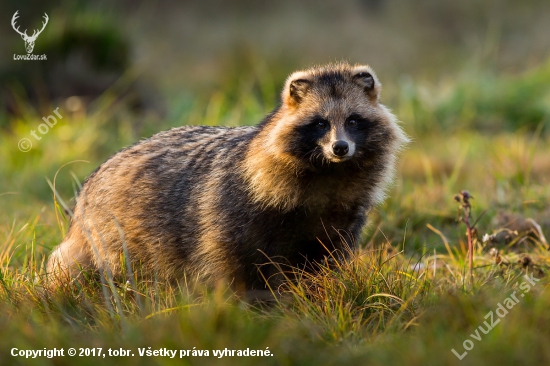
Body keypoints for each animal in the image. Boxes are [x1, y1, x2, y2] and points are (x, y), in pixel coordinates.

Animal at [48, 62, 410, 292]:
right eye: (320, 123)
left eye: (352, 120)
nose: (340, 147)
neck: (328, 174)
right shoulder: (237, 207)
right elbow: (234, 261)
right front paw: (254, 301)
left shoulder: (343, 214)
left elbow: (327, 259)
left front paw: (315, 290)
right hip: (117, 232)